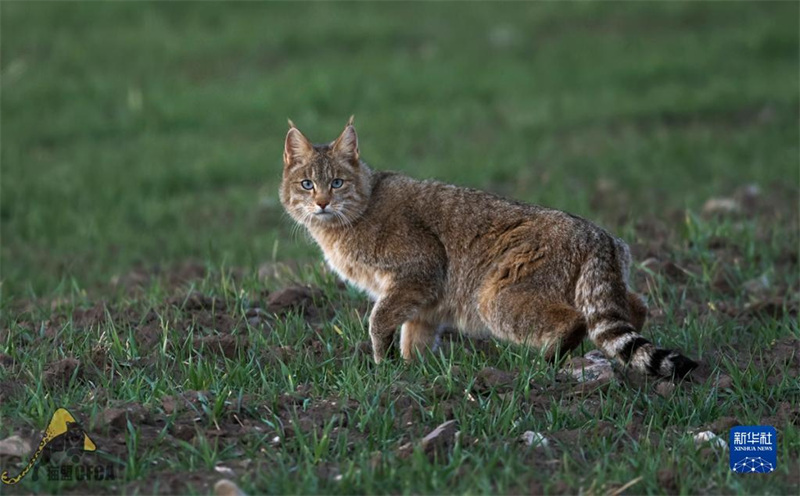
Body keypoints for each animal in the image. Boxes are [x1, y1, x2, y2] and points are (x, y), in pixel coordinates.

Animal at [282, 118, 700, 378]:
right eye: (307, 184)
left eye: (337, 183)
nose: (321, 202)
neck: (356, 211)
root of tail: (598, 234)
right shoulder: (425, 299)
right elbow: (414, 336)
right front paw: (414, 372)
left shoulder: (420, 268)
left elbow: (379, 319)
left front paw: (382, 365)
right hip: (602, 288)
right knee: (634, 308)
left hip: (495, 299)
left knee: (575, 320)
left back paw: (548, 363)